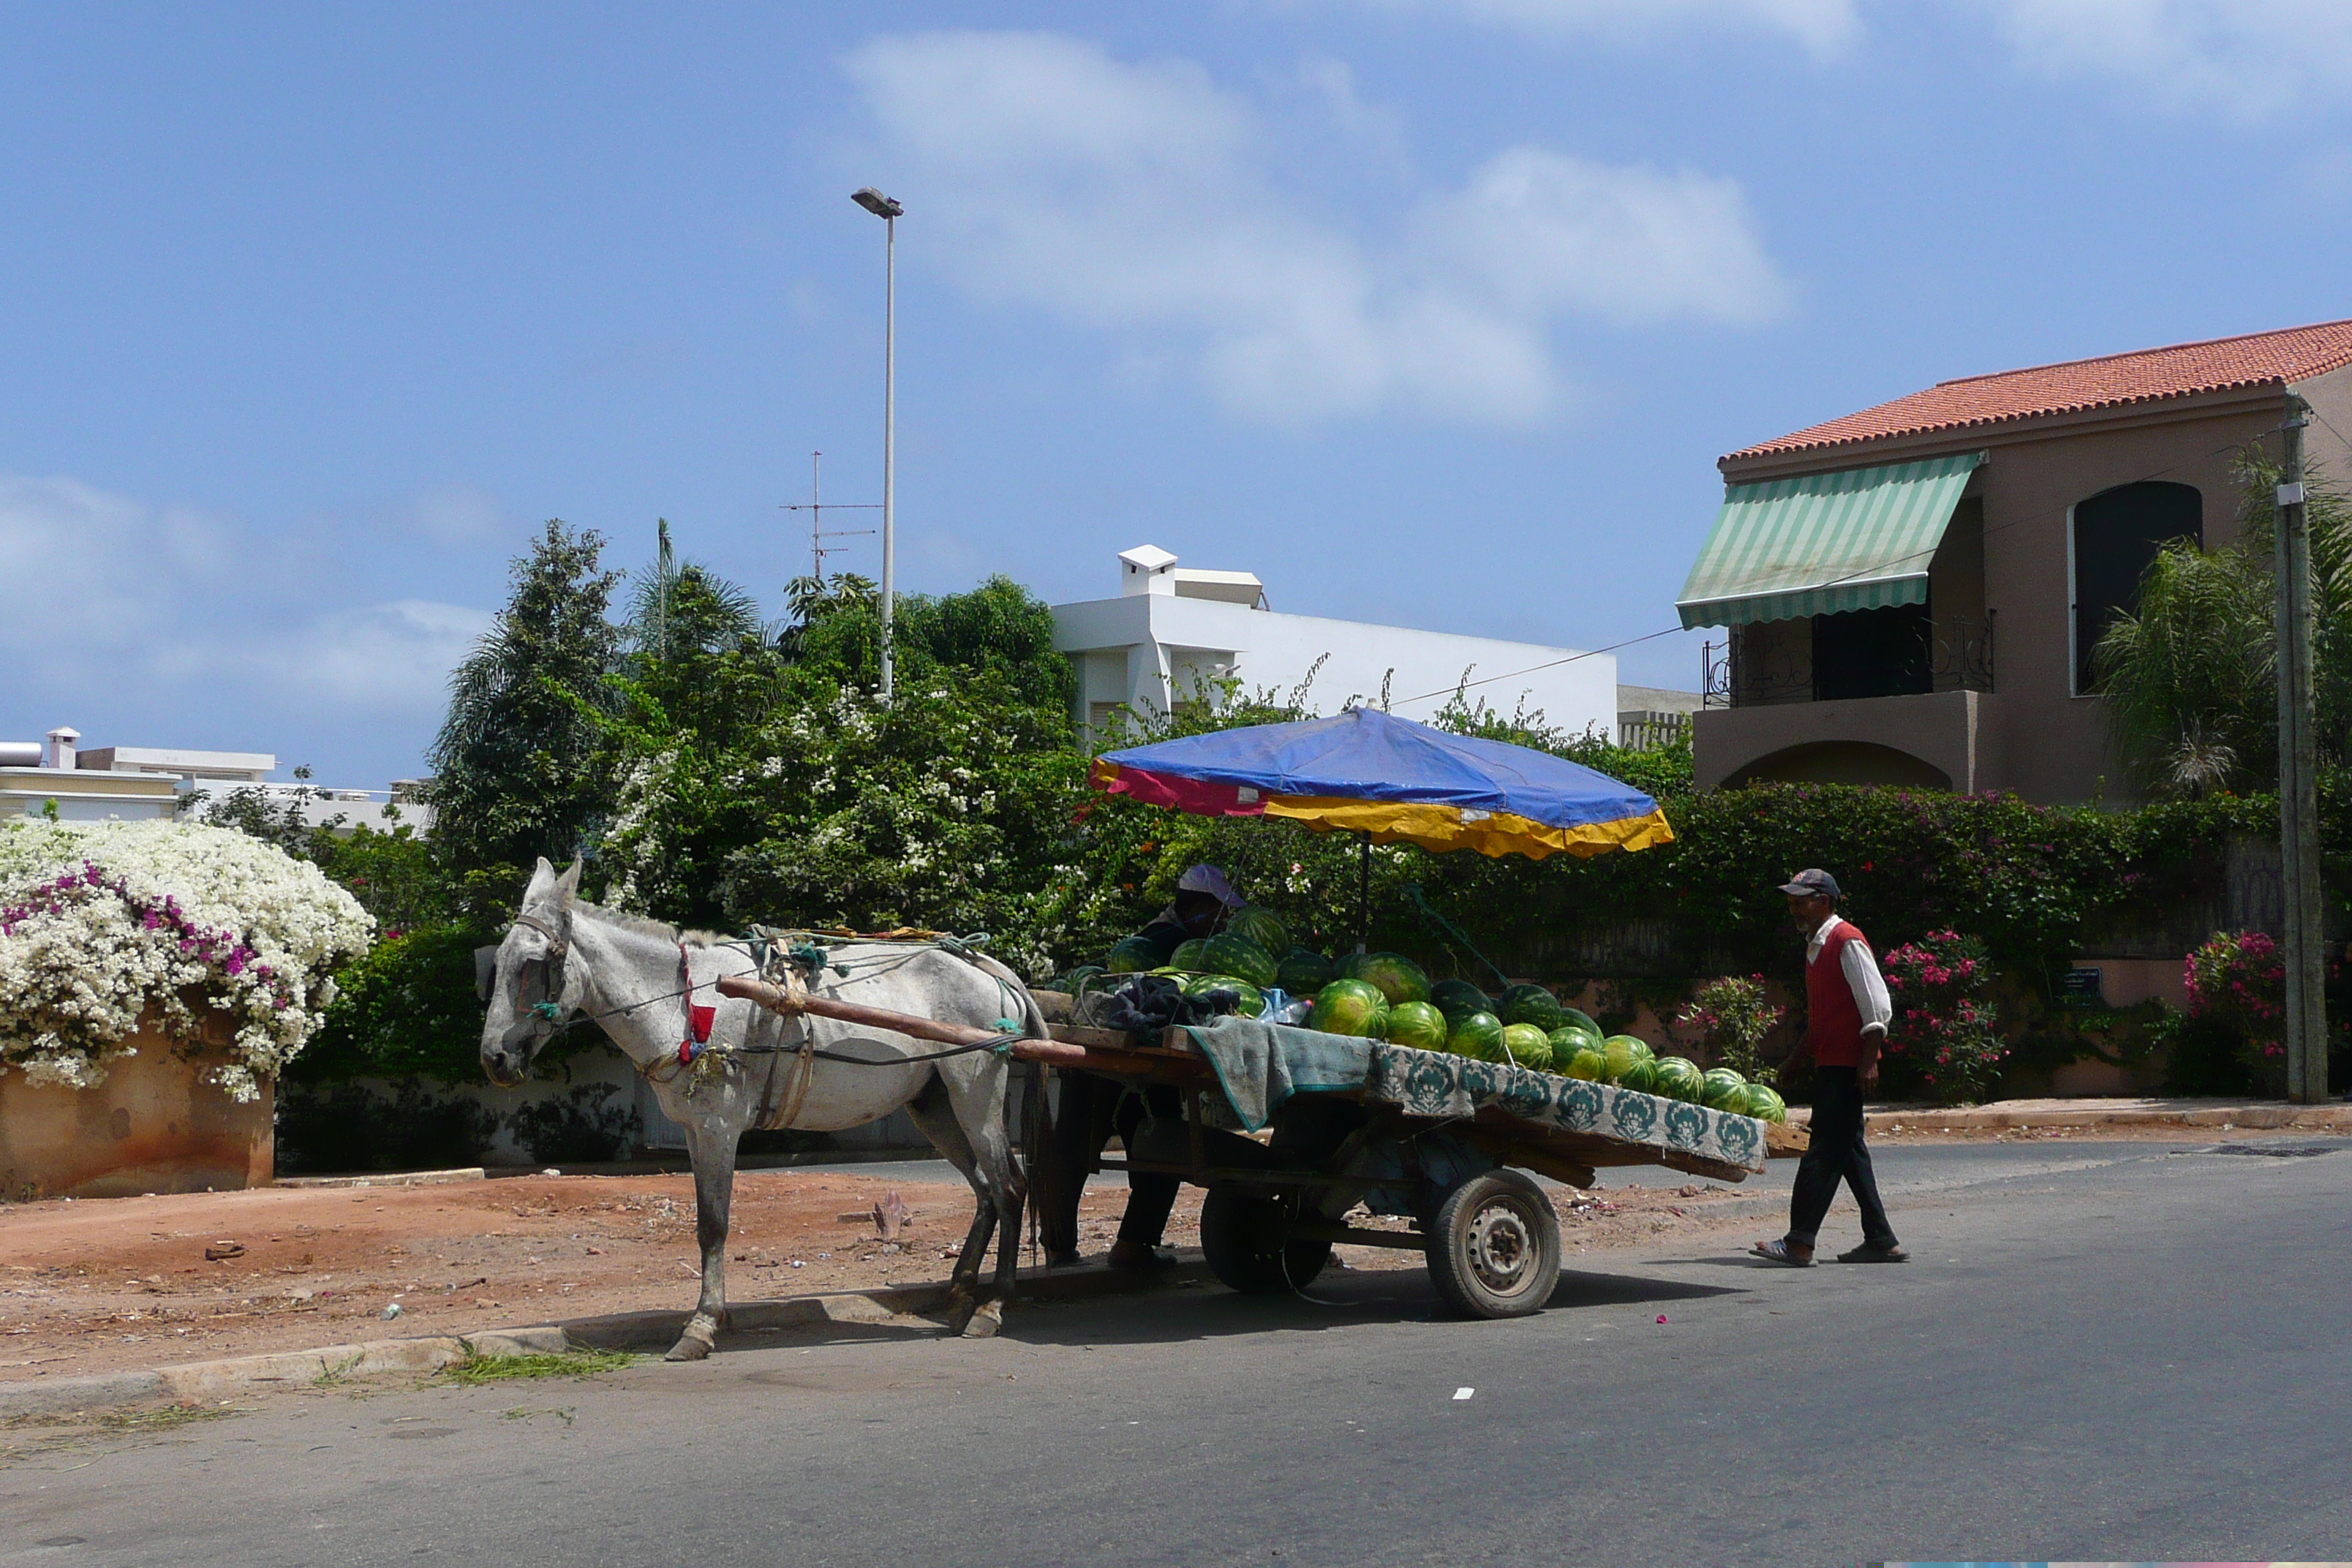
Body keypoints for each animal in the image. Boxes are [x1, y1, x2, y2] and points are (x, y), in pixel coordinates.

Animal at [477, 851, 1039, 1354]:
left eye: (533, 964)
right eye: (495, 963)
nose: (494, 1058)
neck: (684, 1001)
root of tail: (992, 971)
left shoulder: (719, 1127)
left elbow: (714, 1225)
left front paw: (701, 1326)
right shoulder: (692, 1130)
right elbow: (705, 1224)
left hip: (975, 1092)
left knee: (1010, 1188)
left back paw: (993, 1306)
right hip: (935, 1106)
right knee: (986, 1191)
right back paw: (961, 1292)